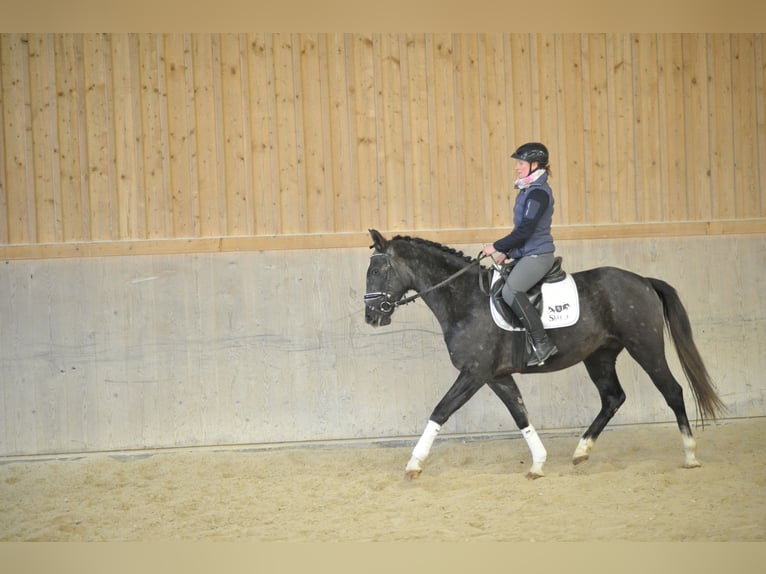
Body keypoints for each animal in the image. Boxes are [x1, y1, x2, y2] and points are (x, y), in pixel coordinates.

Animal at [364, 230, 728, 482]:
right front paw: (538, 464)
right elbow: (520, 414)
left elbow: (441, 410)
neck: (465, 300)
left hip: (645, 347)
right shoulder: (496, 376)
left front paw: (413, 464)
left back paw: (690, 456)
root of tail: (643, 281)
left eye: (378, 271)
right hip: (599, 356)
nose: (371, 316)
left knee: (672, 391)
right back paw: (581, 451)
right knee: (613, 397)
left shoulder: (474, 373)